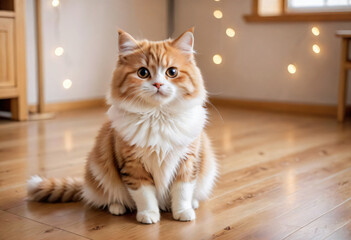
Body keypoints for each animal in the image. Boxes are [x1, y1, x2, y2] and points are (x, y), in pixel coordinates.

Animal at [27, 28, 219, 225]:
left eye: (172, 72)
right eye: (143, 72)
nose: (158, 84)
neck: (157, 116)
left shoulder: (187, 162)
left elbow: (182, 192)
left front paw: (182, 212)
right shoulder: (133, 166)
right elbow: (145, 195)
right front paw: (149, 215)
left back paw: (192, 204)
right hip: (98, 171)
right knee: (108, 198)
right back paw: (117, 207)